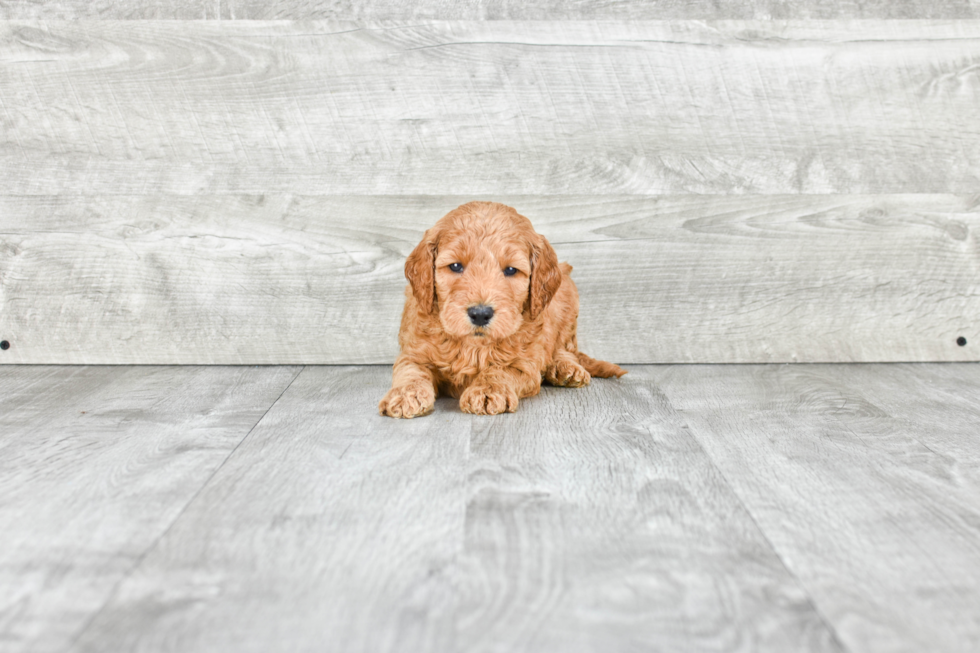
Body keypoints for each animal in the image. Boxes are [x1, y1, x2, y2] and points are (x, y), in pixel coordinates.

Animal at [378, 200, 624, 418]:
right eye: (455, 266)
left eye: (511, 270)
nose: (480, 314)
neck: (473, 347)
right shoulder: (413, 351)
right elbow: (410, 371)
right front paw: (405, 395)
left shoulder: (525, 364)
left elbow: (500, 370)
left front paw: (487, 391)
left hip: (568, 294)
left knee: (565, 346)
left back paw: (566, 368)